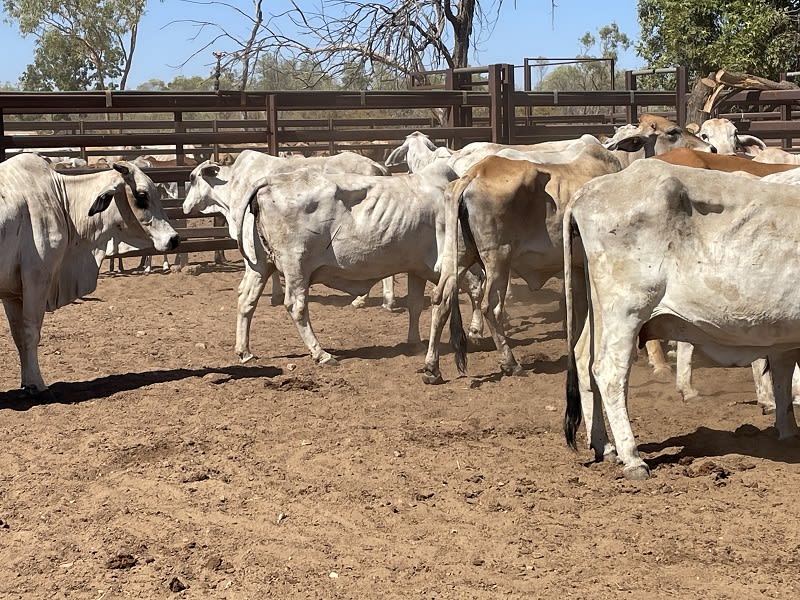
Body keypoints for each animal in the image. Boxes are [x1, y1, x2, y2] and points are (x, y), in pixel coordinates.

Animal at [0, 153, 179, 396]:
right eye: (142, 196)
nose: (174, 239)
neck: (61, 200)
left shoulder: (11, 292)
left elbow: (18, 336)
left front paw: (26, 382)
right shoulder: (37, 279)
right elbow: (31, 333)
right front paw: (37, 384)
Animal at [563, 159, 800, 480]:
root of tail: (587, 191)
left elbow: (783, 375)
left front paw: (788, 434)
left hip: (600, 309)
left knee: (583, 360)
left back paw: (605, 447)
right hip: (627, 309)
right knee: (609, 372)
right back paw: (632, 458)